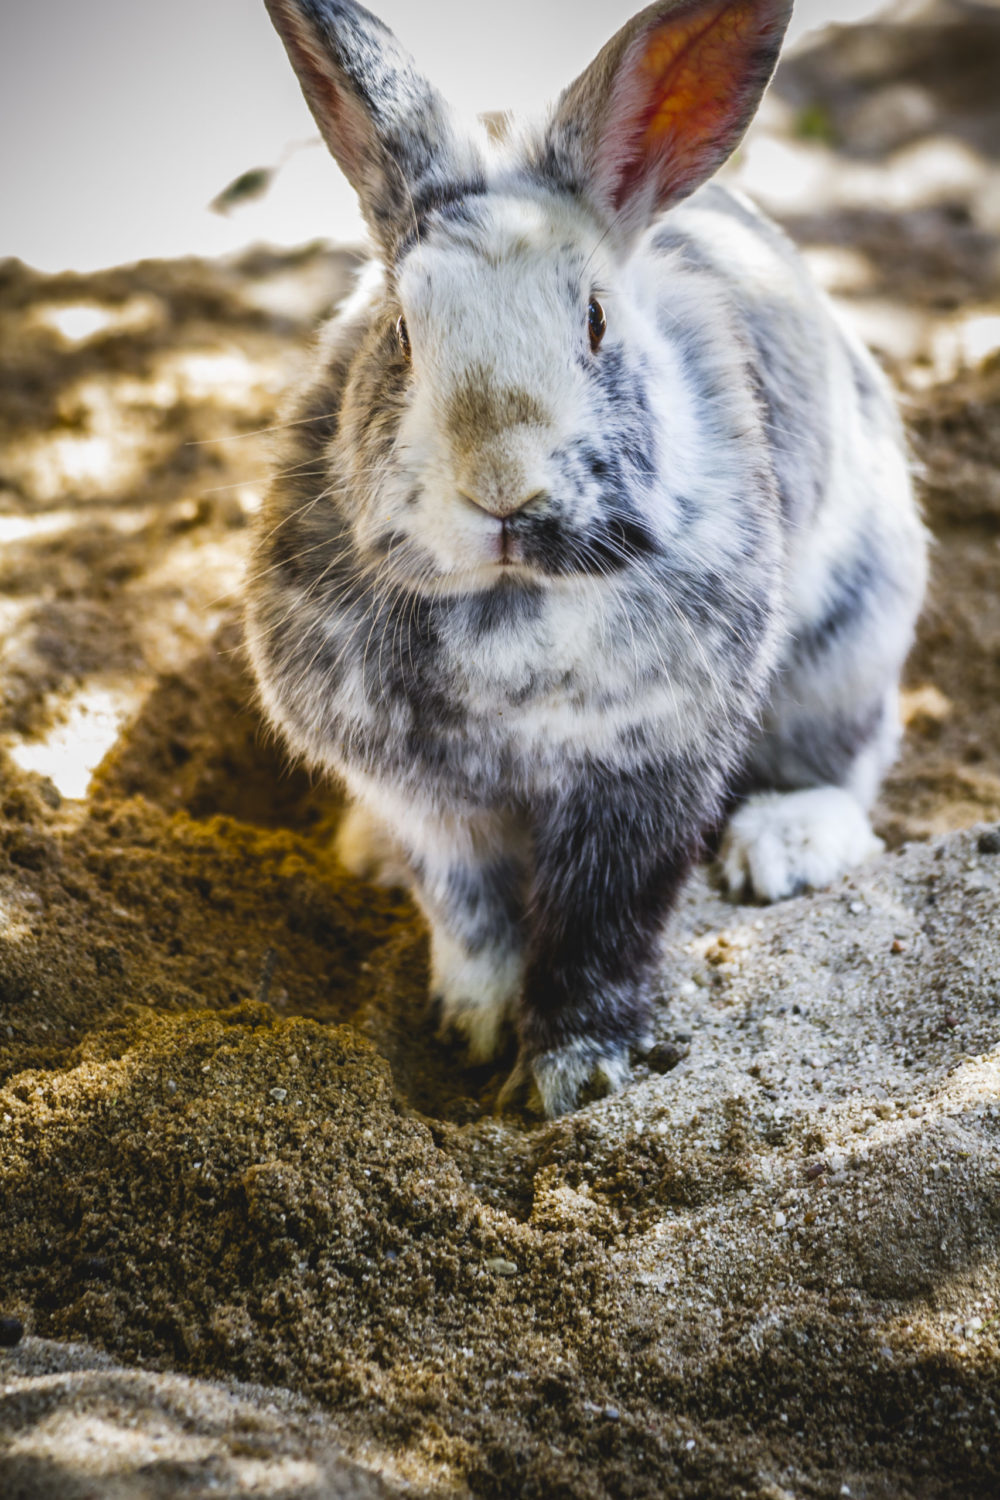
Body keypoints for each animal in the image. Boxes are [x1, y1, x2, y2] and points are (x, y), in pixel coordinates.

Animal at [245, 0, 927, 1117]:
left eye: (596, 320)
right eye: (400, 331)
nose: (502, 488)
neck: (511, 597)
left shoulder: (646, 771)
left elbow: (603, 923)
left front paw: (573, 1074)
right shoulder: (426, 795)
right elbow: (470, 915)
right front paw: (470, 1033)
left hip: (852, 638)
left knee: (847, 760)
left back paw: (784, 844)